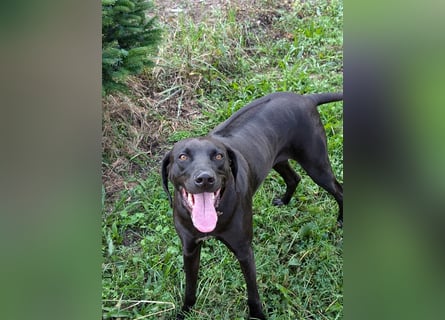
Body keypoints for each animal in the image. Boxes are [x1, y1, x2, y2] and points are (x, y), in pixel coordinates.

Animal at [161, 91, 342, 318]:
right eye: (183, 156)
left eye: (218, 156)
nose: (205, 179)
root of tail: (306, 98)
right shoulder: (190, 249)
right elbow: (190, 288)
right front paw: (185, 312)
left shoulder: (244, 251)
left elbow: (252, 293)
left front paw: (257, 315)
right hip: (278, 159)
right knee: (294, 178)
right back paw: (284, 200)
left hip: (316, 165)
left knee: (339, 190)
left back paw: (341, 220)